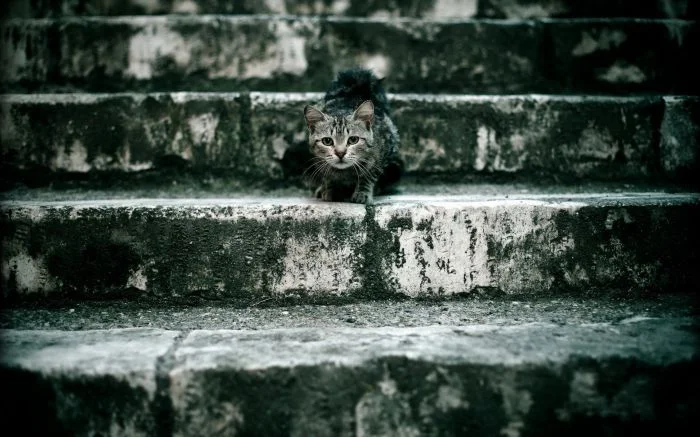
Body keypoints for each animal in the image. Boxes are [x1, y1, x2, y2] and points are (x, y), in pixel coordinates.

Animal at [303, 68, 402, 204]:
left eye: (353, 140)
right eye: (327, 141)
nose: (340, 153)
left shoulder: (384, 151)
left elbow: (369, 174)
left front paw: (362, 193)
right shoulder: (318, 159)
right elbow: (327, 175)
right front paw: (330, 189)